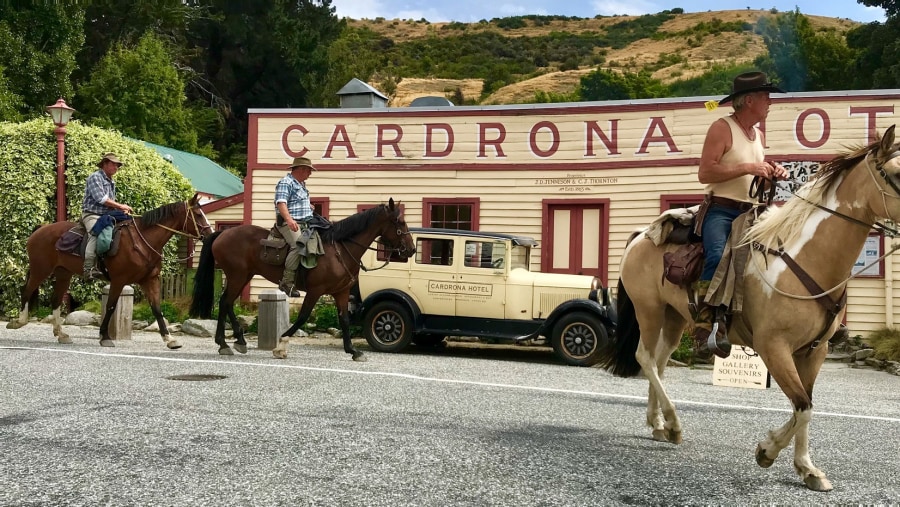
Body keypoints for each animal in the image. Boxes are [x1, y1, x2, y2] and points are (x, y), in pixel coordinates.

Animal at [6, 192, 213, 352]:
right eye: (197, 214)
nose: (209, 234)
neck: (143, 241)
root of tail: (39, 230)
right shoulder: (119, 280)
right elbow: (111, 307)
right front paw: (104, 336)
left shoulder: (150, 280)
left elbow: (156, 308)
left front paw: (170, 339)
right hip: (40, 270)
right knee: (26, 291)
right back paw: (19, 321)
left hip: (63, 273)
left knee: (56, 300)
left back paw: (61, 333)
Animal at [192, 198, 416, 362]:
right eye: (400, 222)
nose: (411, 249)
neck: (340, 250)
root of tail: (223, 233)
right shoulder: (316, 290)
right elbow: (303, 316)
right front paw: (281, 346)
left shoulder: (341, 292)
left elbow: (344, 320)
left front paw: (353, 351)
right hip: (237, 276)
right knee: (225, 302)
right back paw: (225, 344)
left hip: (243, 276)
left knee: (227, 303)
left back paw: (236, 342)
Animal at [596, 124, 900, 492]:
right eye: (898, 172)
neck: (803, 259)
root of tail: (642, 234)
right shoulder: (774, 347)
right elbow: (803, 406)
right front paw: (768, 451)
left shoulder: (815, 351)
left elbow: (805, 407)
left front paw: (807, 469)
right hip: (649, 310)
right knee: (644, 358)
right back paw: (674, 424)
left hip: (674, 318)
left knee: (659, 362)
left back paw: (659, 424)